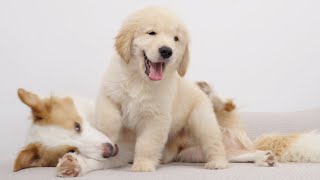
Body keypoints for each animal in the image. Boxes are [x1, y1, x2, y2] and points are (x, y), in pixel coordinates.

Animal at [13, 86, 320, 177]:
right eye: (70, 147)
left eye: (78, 125)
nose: (109, 148)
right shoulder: (122, 155)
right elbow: (95, 162)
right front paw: (73, 165)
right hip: (200, 154)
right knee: (233, 155)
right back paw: (260, 157)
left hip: (211, 115)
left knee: (224, 104)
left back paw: (209, 91)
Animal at [95, 7, 230, 172]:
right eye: (152, 33)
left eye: (176, 38)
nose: (166, 51)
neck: (139, 80)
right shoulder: (109, 95)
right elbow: (109, 120)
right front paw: (108, 139)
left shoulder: (156, 118)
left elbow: (147, 144)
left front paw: (142, 165)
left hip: (203, 121)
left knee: (213, 141)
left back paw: (217, 162)